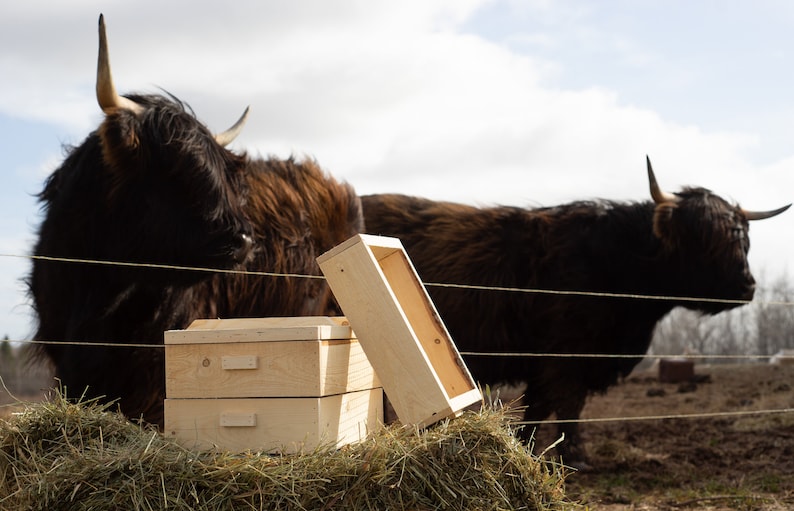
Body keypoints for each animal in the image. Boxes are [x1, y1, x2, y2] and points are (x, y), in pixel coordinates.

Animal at [362, 160, 788, 468]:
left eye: (743, 240)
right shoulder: (568, 355)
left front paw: (527, 449)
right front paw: (577, 459)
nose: (747, 288)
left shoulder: (552, 361)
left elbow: (538, 407)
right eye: (702, 240)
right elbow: (568, 406)